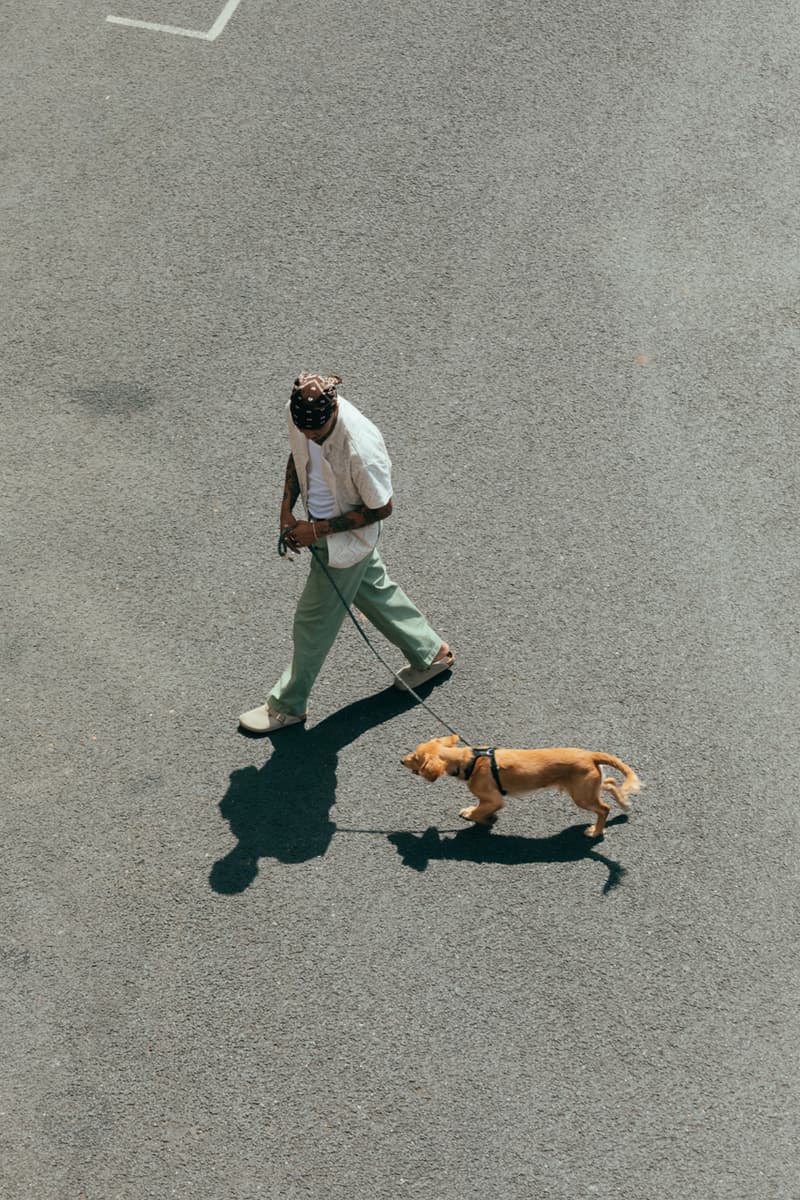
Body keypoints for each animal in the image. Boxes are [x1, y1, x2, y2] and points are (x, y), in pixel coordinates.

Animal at [402, 729, 642, 835]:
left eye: (415, 757)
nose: (401, 760)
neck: (469, 760)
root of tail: (591, 755)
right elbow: (480, 808)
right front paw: (479, 815)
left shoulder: (495, 799)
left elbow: (481, 811)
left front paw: (478, 817)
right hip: (586, 787)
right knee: (609, 781)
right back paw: (623, 802)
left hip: (581, 795)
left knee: (604, 808)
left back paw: (596, 831)